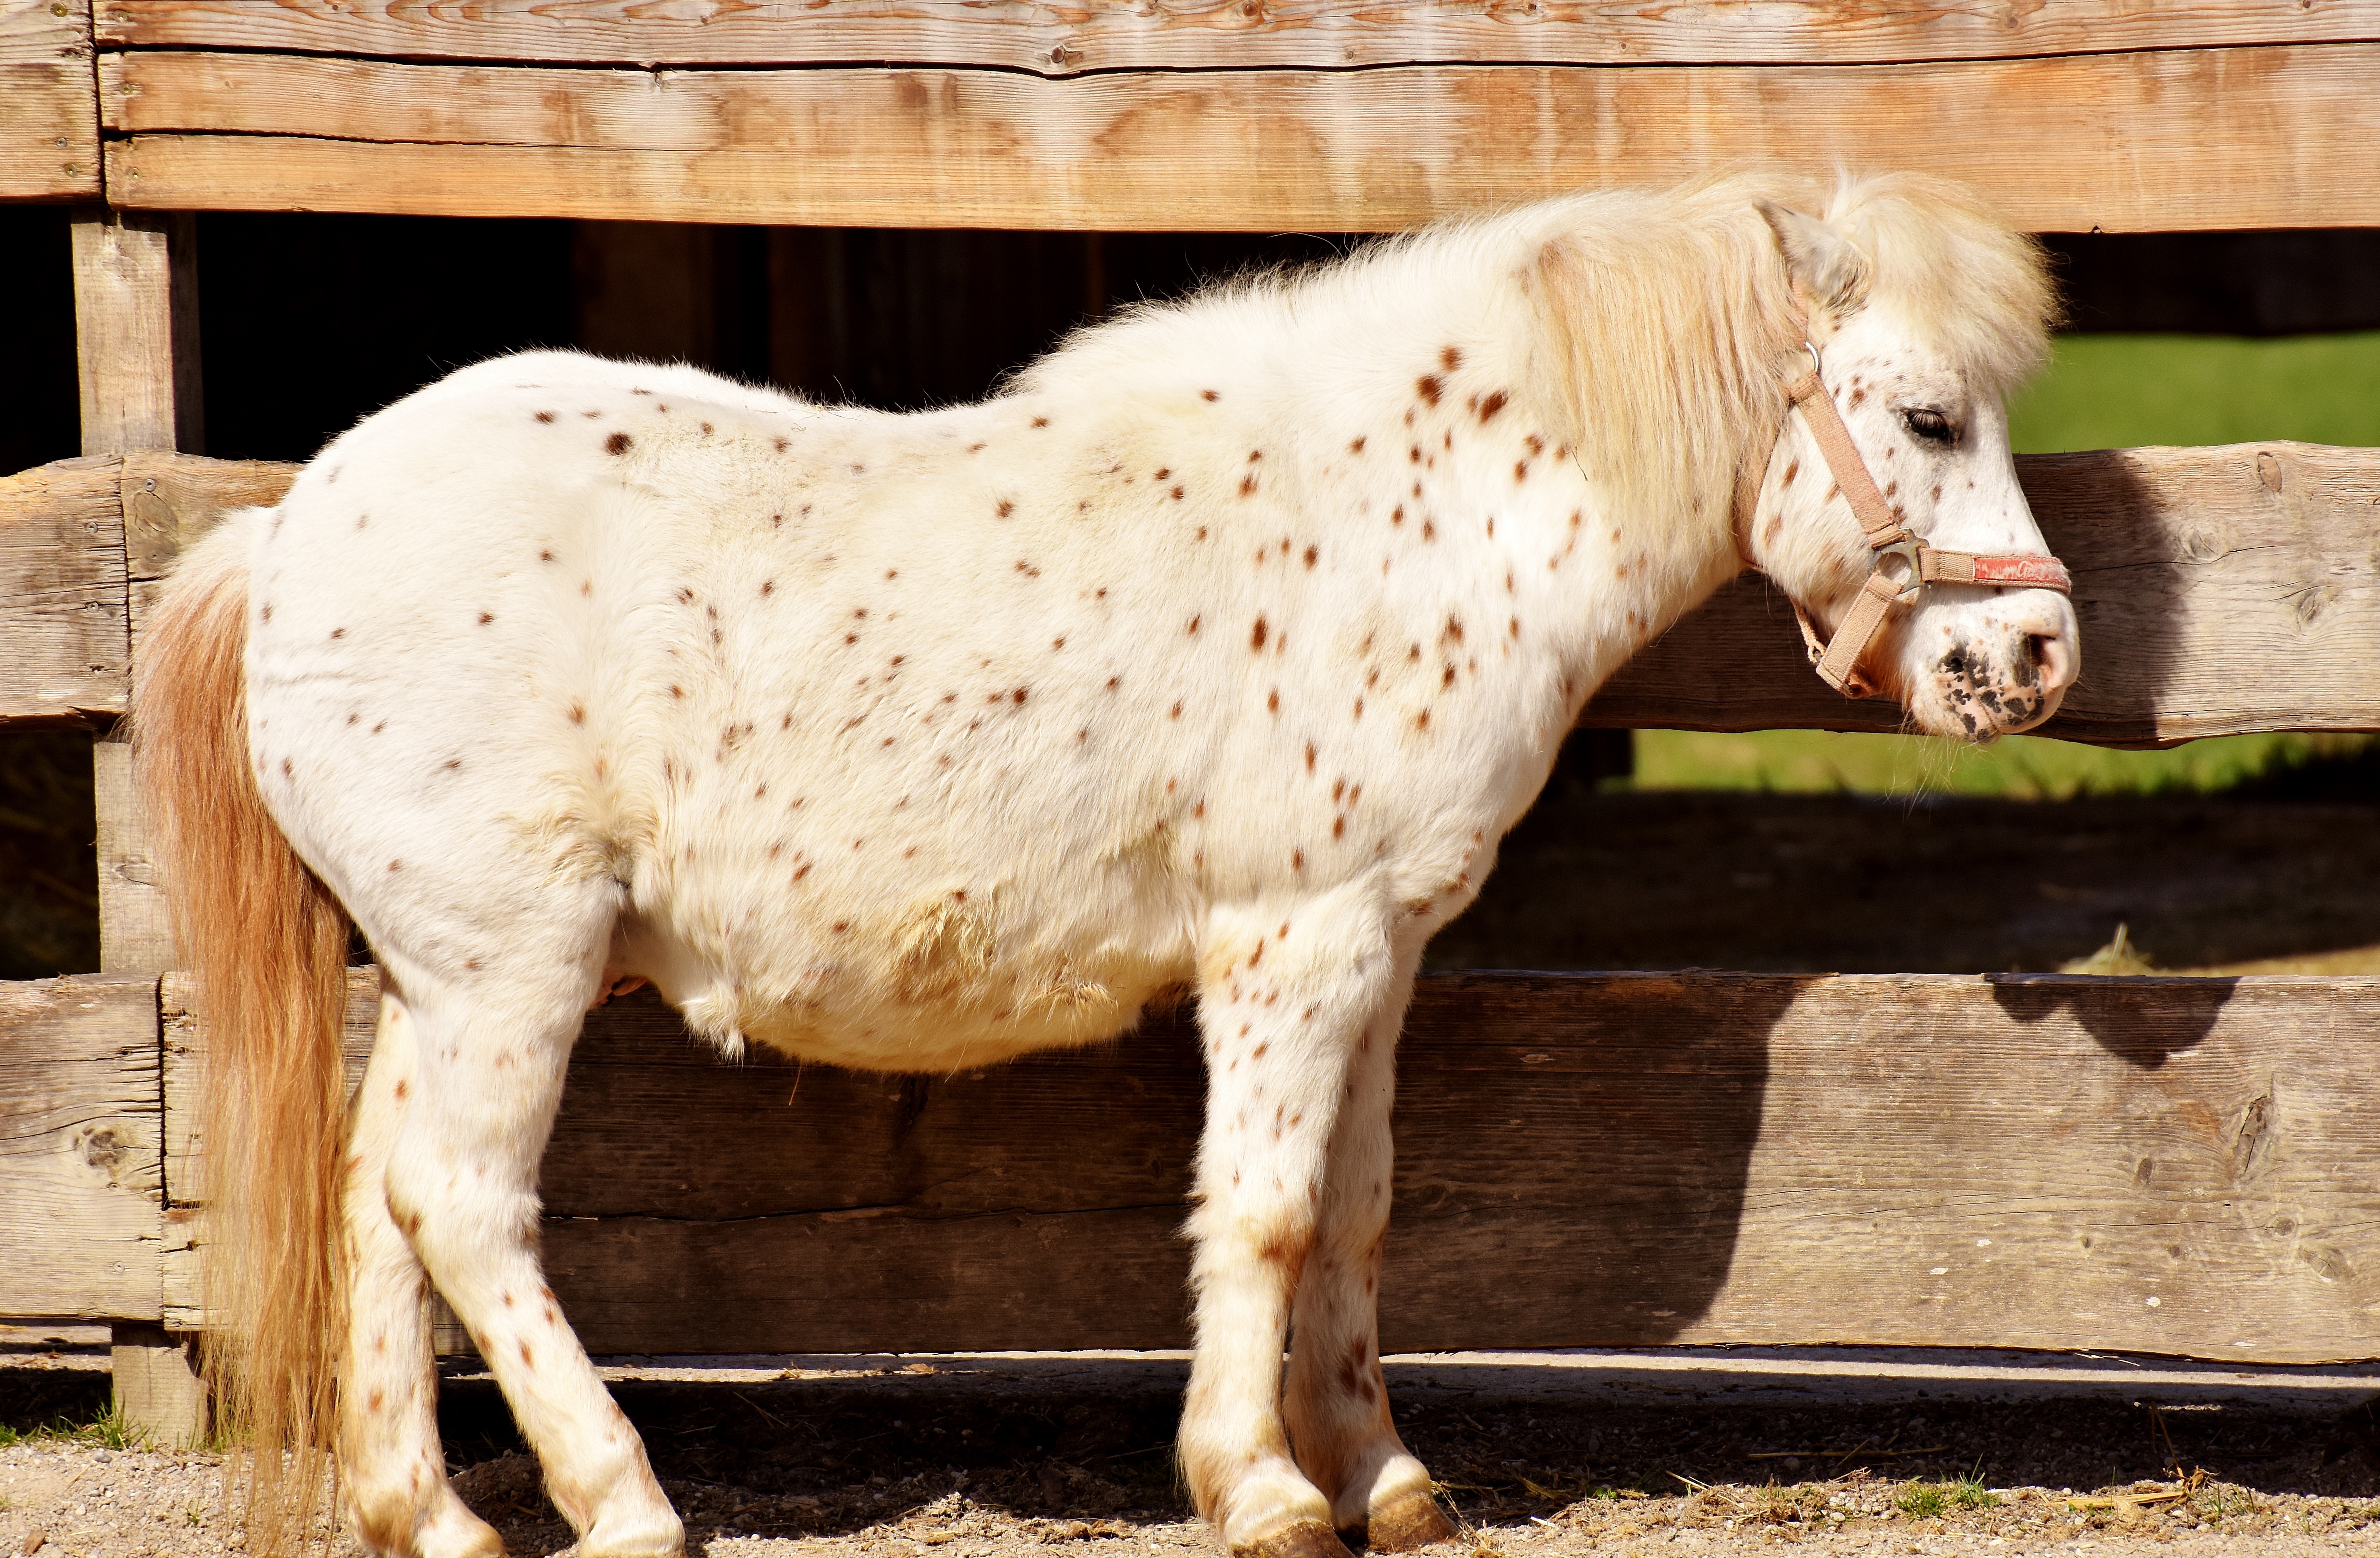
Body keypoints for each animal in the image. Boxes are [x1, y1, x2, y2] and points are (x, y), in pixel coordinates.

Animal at [139, 171, 2075, 1558]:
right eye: (1923, 420)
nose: (2039, 654)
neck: (1407, 517)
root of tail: (287, 525)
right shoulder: (1291, 945)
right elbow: (1268, 1209)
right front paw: (1262, 1491)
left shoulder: (1381, 954)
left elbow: (1357, 1213)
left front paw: (1386, 1482)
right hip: (515, 970)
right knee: (466, 1205)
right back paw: (626, 1506)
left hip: (446, 977)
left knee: (381, 1201)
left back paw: (435, 1517)